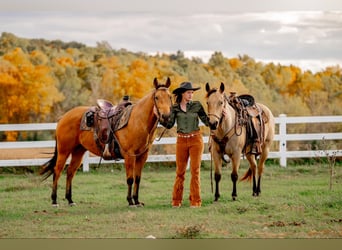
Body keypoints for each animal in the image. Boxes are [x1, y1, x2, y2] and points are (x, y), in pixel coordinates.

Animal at [40, 77, 172, 207]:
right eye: (156, 97)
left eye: (170, 96)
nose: (166, 117)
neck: (137, 121)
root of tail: (63, 118)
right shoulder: (129, 156)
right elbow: (130, 179)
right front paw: (130, 201)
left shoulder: (142, 156)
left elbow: (137, 178)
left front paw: (137, 201)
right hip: (64, 151)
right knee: (57, 171)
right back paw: (54, 200)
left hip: (78, 151)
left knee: (70, 172)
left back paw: (70, 200)